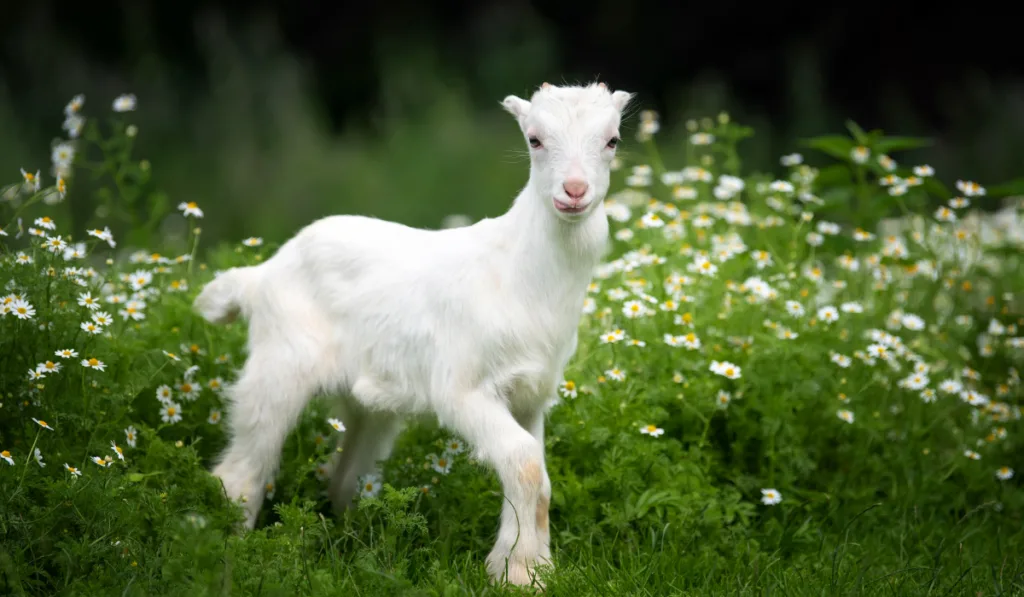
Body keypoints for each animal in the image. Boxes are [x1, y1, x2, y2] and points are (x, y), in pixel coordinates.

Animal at [193, 80, 630, 589]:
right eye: (534, 140)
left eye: (612, 141)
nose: (574, 191)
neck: (520, 273)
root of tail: (261, 274)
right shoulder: (460, 387)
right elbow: (523, 464)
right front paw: (518, 573)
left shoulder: (530, 394)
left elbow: (539, 474)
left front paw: (535, 565)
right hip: (280, 364)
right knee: (239, 468)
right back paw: (230, 555)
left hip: (368, 402)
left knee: (344, 474)